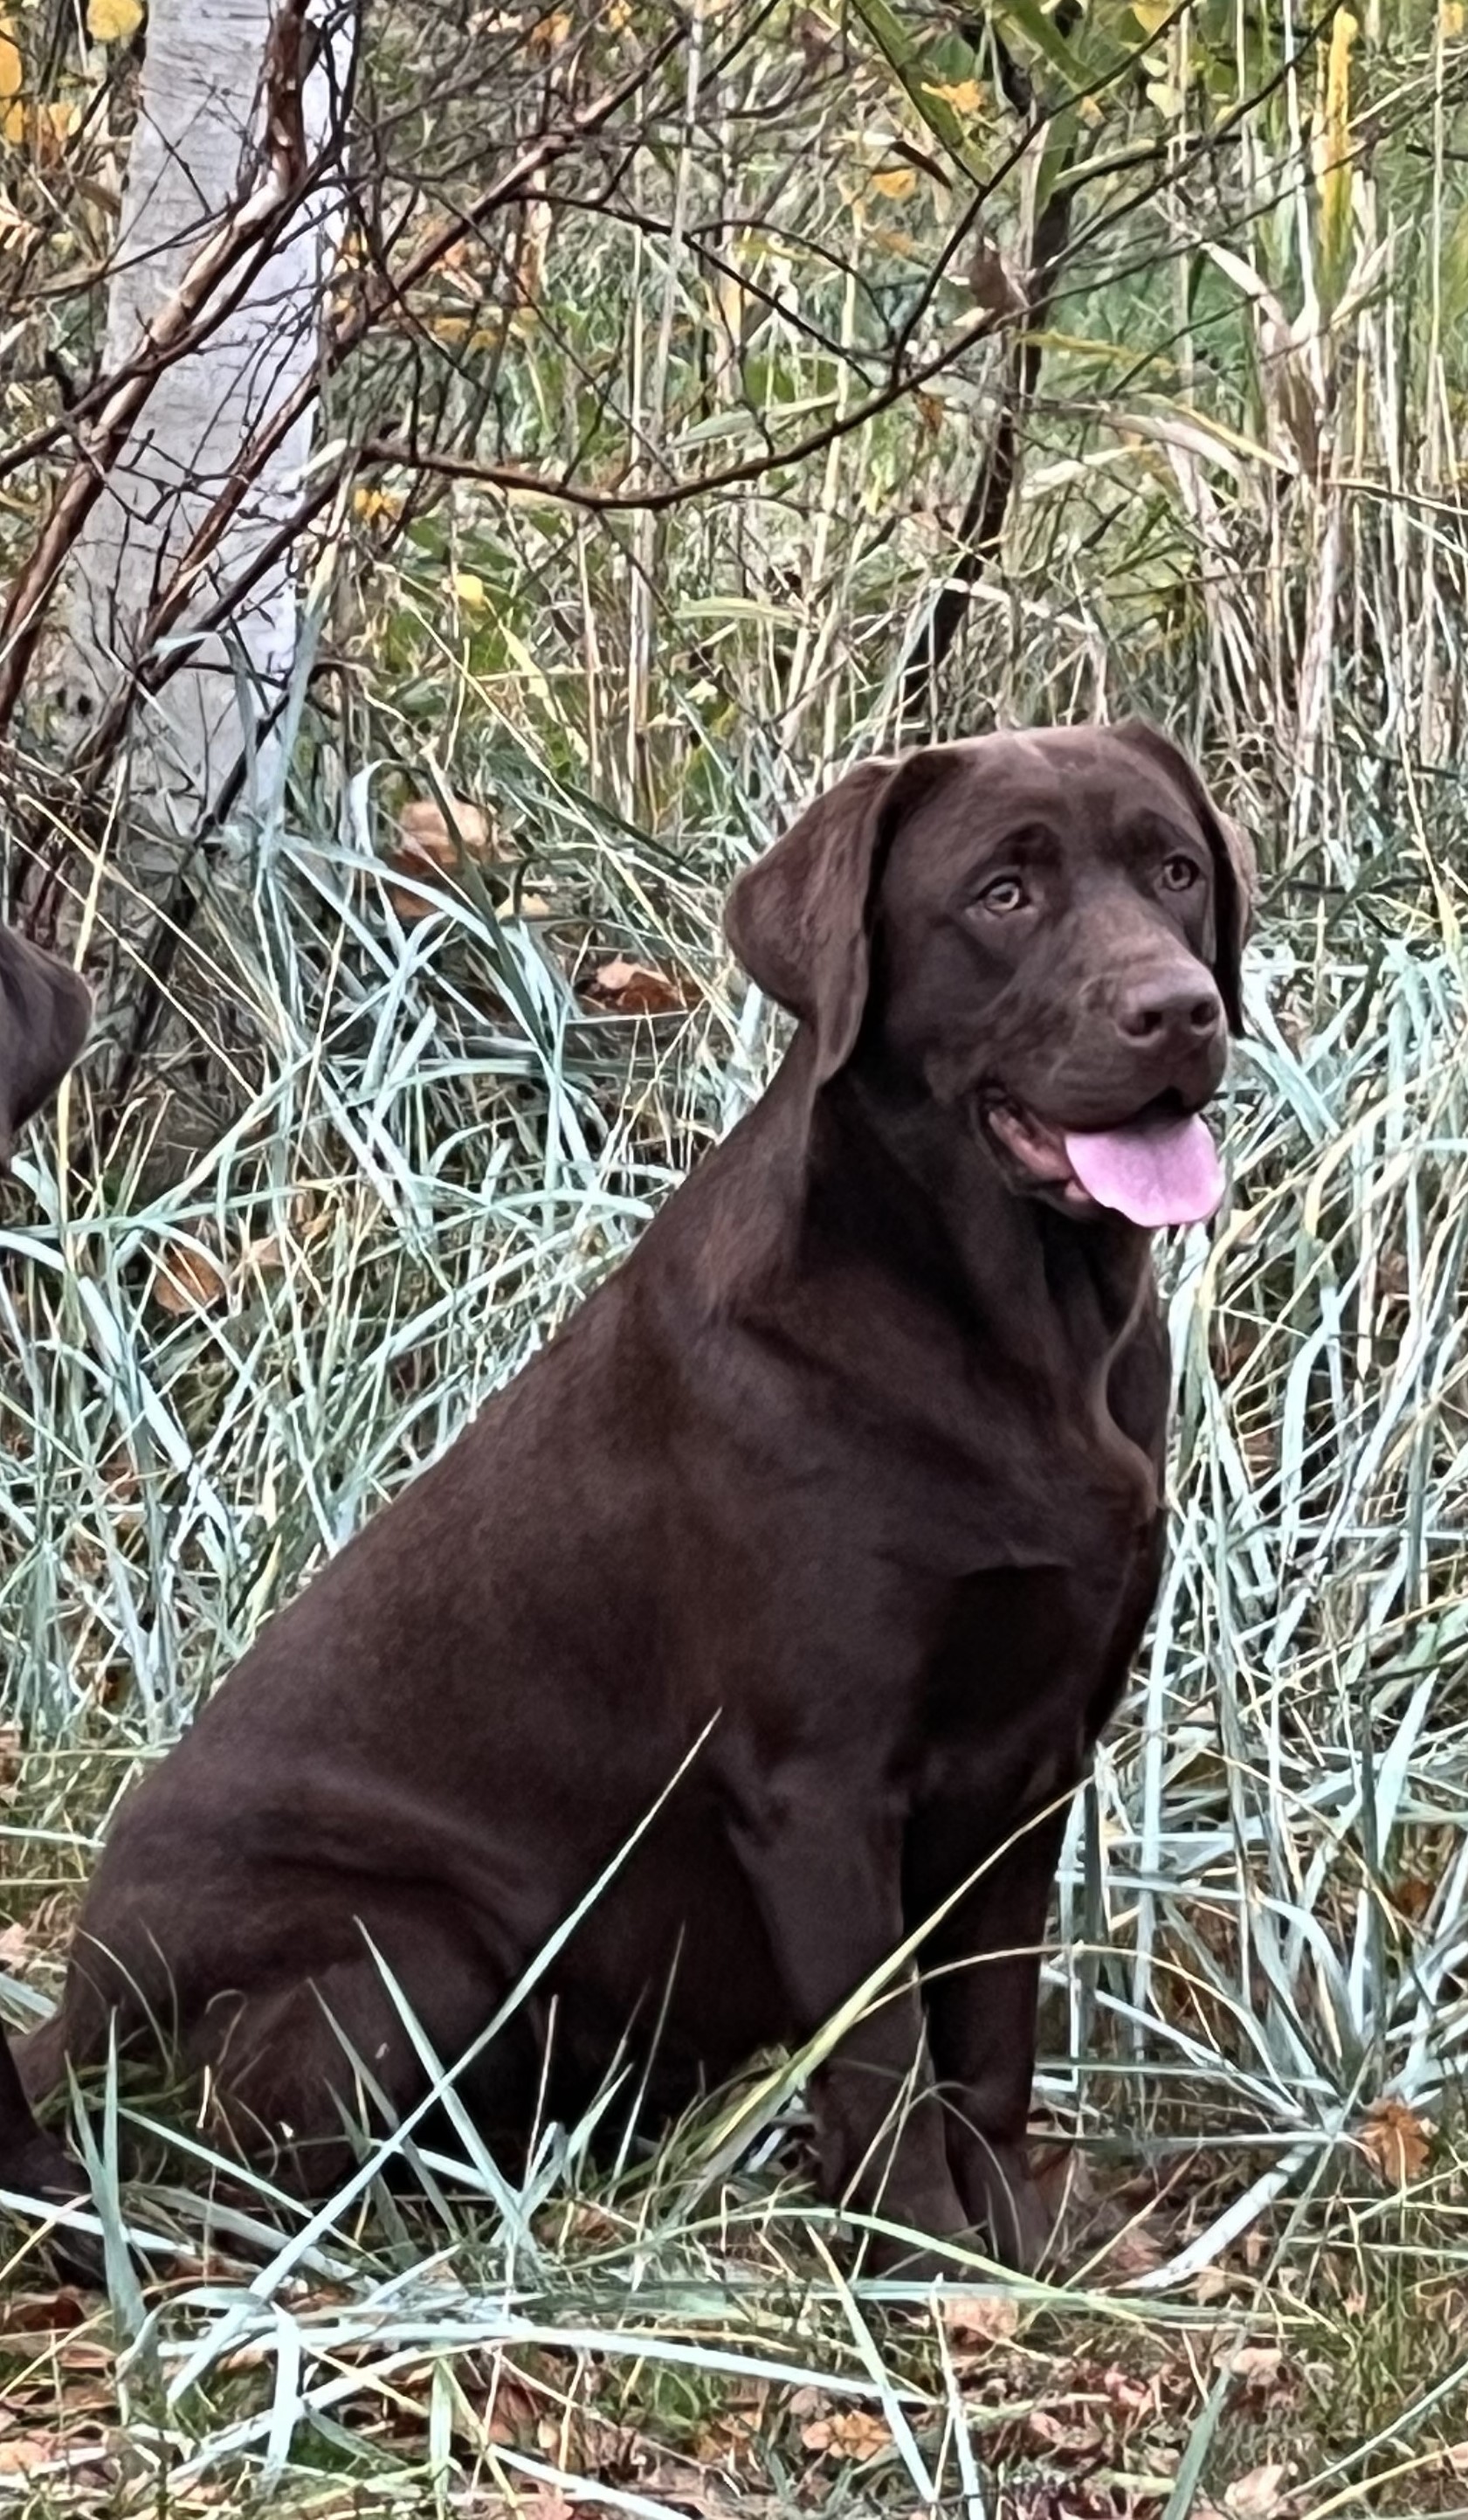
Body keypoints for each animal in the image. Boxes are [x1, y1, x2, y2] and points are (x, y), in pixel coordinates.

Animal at [3, 725, 1250, 2275]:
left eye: (1176, 871)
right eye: (1003, 894)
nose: (1179, 1009)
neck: (1021, 1341)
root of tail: (73, 2005)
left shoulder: (1038, 1759)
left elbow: (990, 2043)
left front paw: (1013, 2252)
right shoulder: (819, 1782)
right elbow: (883, 2055)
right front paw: (920, 2274)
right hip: (409, 1947)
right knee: (251, 2162)